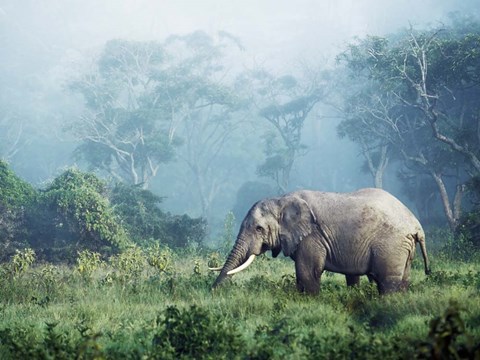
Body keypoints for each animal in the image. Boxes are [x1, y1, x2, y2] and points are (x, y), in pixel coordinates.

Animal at [210, 187, 432, 294]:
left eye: (259, 229)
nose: (212, 291)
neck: (281, 199)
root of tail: (416, 225)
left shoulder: (312, 237)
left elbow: (308, 272)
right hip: (403, 247)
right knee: (402, 280)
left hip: (391, 244)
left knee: (386, 281)